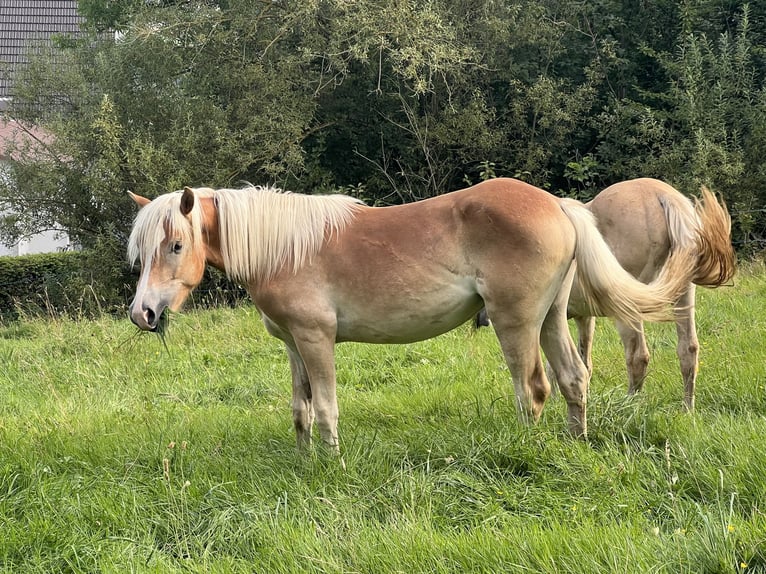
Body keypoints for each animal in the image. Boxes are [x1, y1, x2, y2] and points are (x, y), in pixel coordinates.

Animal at [130, 178, 696, 448]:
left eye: (176, 245)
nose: (144, 313)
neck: (285, 247)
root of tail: (558, 205)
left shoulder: (316, 340)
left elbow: (326, 408)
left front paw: (330, 467)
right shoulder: (294, 345)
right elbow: (300, 411)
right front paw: (305, 461)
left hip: (516, 324)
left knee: (533, 389)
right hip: (553, 319)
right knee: (574, 380)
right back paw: (574, 442)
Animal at [568, 178, 736, 412]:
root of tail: (663, 196)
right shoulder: (583, 317)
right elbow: (582, 361)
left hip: (628, 308)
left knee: (638, 356)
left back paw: (627, 407)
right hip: (682, 294)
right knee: (688, 349)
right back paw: (687, 410)